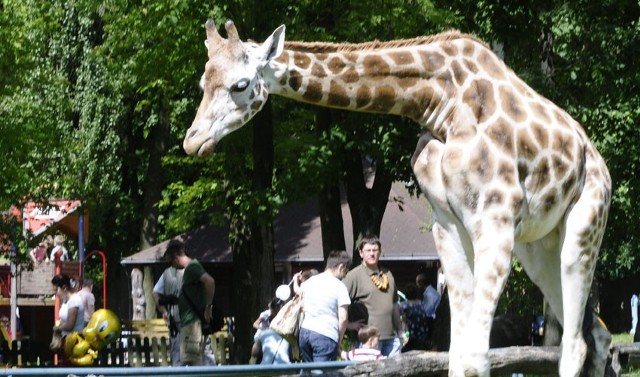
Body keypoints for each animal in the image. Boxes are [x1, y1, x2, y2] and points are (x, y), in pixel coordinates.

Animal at [184, 20, 608, 376]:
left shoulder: (495, 220)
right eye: (203, 84)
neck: (441, 101)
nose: (192, 141)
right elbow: (460, 355)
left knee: (575, 342)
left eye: (240, 85)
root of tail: (596, 160)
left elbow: (476, 356)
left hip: (582, 231)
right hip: (537, 249)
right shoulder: (449, 225)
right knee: (595, 336)